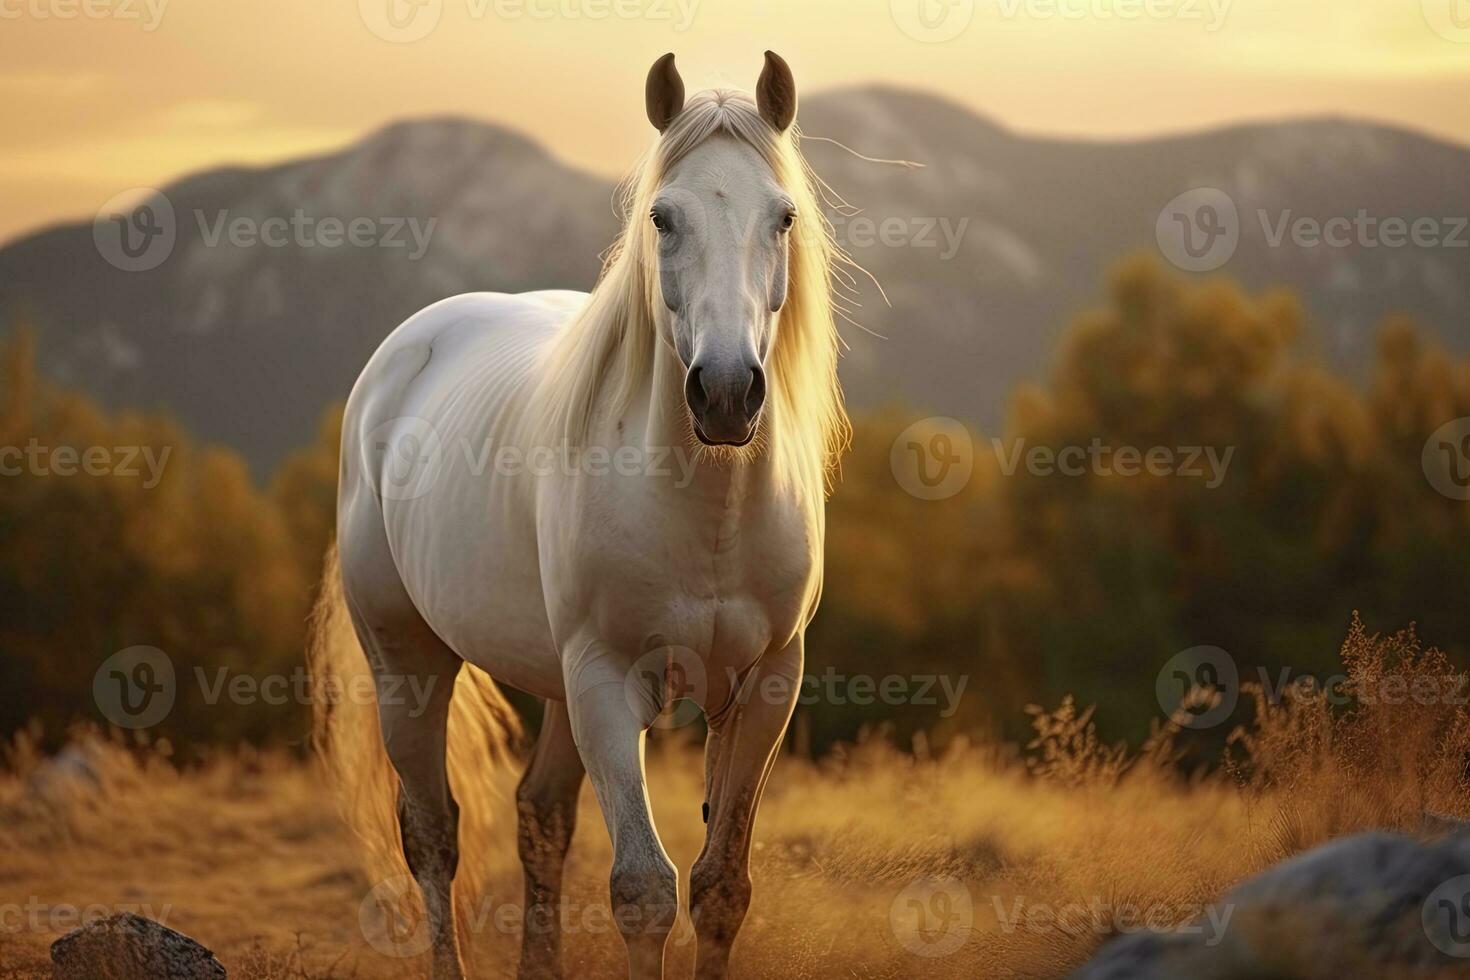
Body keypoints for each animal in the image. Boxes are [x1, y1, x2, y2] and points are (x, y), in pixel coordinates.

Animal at [310, 51, 846, 980]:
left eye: (782, 217)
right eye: (663, 217)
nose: (727, 393)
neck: (707, 514)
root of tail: (403, 353)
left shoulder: (765, 687)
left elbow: (721, 885)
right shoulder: (605, 682)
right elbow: (644, 890)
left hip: (557, 686)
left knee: (540, 817)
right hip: (409, 665)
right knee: (432, 835)